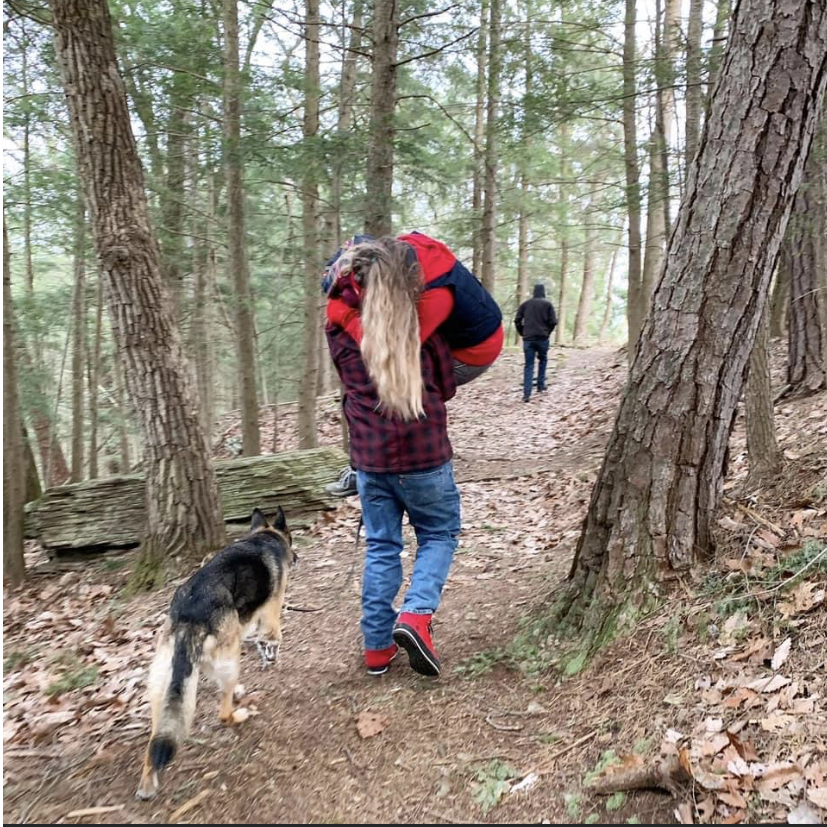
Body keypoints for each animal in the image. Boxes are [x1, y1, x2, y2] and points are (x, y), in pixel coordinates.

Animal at [133, 504, 294, 804]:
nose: (297, 558)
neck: (264, 539)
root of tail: (188, 618)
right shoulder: (271, 613)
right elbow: (271, 638)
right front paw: (271, 655)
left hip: (163, 685)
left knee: (156, 739)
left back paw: (148, 783)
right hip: (230, 660)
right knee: (223, 713)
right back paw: (239, 714)